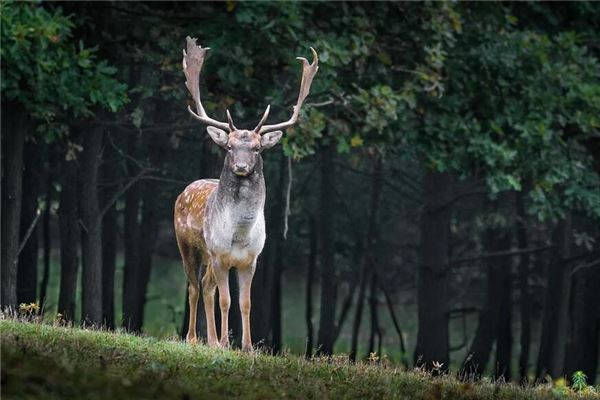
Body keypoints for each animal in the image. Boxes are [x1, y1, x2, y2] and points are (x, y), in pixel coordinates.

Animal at [173, 37, 318, 350]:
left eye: (257, 148)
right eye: (229, 147)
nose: (240, 166)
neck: (239, 235)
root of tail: (185, 190)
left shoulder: (250, 259)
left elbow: (246, 302)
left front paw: (247, 346)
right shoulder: (220, 255)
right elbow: (226, 300)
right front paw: (226, 342)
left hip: (208, 257)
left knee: (206, 286)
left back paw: (211, 340)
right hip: (188, 245)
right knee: (194, 286)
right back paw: (194, 338)